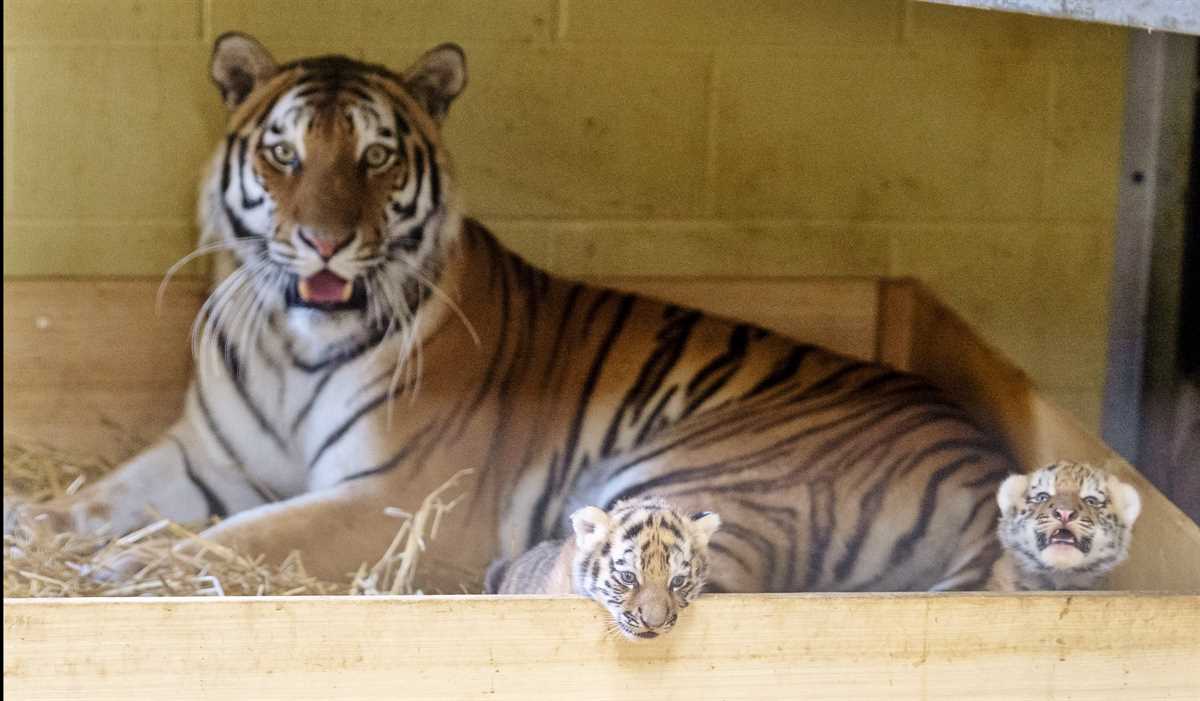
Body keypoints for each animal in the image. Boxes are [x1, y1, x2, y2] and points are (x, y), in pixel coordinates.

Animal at [14, 32, 1017, 590]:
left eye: (376, 157)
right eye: (284, 154)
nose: (325, 243)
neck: (288, 345)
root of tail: (986, 460)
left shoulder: (393, 497)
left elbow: (240, 536)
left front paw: (133, 568)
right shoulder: (205, 455)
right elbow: (97, 498)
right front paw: (31, 526)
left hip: (690, 480)